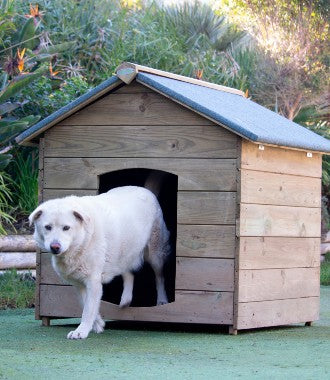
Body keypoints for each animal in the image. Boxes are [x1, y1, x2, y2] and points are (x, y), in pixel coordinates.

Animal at [29, 187, 170, 338]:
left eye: (66, 228)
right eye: (48, 227)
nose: (55, 247)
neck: (83, 241)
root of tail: (145, 189)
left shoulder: (93, 282)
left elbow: (88, 309)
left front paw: (81, 331)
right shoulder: (80, 284)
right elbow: (86, 304)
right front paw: (98, 324)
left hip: (155, 254)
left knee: (160, 277)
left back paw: (162, 300)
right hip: (123, 253)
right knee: (129, 274)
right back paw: (125, 300)